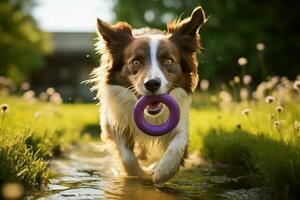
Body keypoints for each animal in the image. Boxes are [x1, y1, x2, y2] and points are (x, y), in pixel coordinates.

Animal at [90, 6, 205, 184]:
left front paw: (162, 171)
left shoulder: (180, 120)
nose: (152, 84)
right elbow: (127, 157)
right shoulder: (114, 122)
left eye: (168, 61)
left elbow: (178, 144)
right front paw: (141, 173)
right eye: (136, 61)